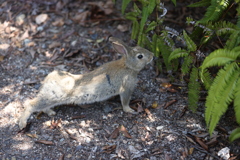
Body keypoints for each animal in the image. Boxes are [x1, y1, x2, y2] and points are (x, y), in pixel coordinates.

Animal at [18, 37, 154, 129]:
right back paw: (22, 123)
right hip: (52, 96)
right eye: (140, 56)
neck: (127, 65)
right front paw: (130, 110)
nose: (152, 55)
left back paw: (51, 112)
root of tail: (48, 79)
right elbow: (125, 102)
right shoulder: (126, 88)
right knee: (31, 104)